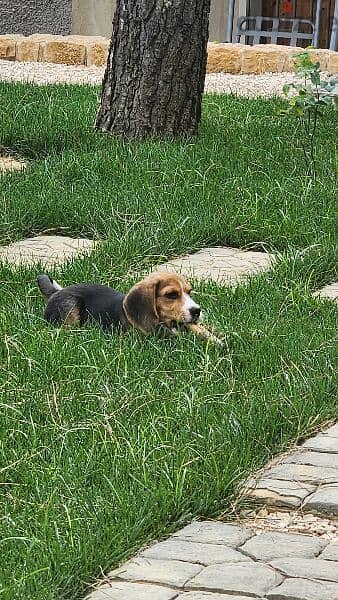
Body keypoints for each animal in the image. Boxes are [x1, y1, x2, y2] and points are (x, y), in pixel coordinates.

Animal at [37, 270, 222, 342]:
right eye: (171, 295)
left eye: (189, 292)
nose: (197, 311)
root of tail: (55, 292)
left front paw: (216, 336)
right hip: (69, 310)